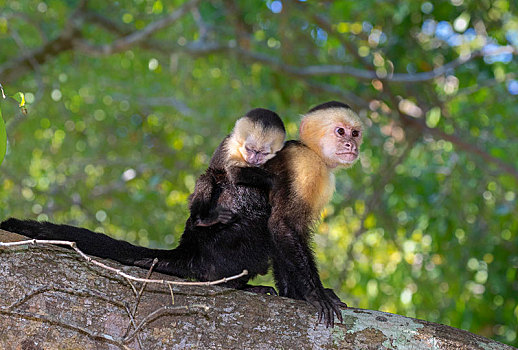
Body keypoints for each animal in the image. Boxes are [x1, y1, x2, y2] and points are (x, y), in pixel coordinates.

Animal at [1, 108, 284, 294]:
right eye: (250, 149)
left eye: (262, 152)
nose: (254, 159)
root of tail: (190, 247)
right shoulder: (229, 148)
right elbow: (224, 174)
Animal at [266, 101, 364, 328]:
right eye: (340, 131)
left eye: (355, 133)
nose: (351, 145)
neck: (314, 152)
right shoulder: (305, 166)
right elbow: (282, 224)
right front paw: (316, 294)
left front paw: (293, 294)